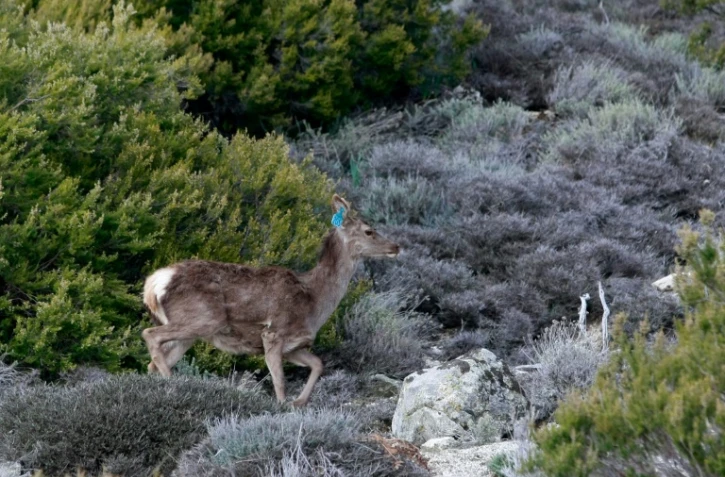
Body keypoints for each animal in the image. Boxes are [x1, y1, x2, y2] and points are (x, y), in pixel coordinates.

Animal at [141, 194, 400, 407]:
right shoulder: (274, 333)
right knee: (149, 335)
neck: (314, 300)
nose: (396, 246)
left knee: (153, 362)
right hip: (204, 318)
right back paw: (174, 383)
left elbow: (318, 364)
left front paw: (299, 402)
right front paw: (284, 405)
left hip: (191, 332)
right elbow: (280, 381)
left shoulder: (294, 345)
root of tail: (154, 282)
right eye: (369, 231)